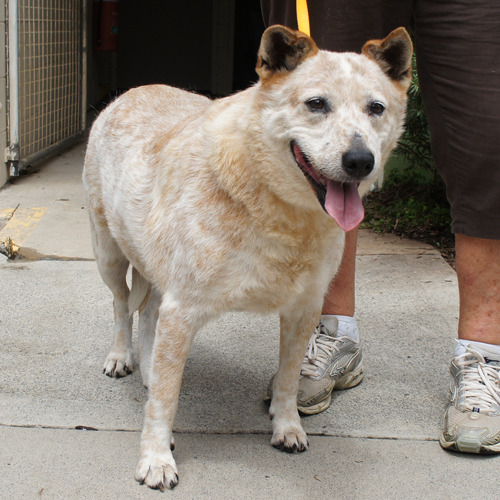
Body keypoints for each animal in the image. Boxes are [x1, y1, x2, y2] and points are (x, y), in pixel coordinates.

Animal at [83, 25, 412, 491]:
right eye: (316, 104)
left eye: (376, 108)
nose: (360, 161)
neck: (277, 210)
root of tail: (132, 90)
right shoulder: (183, 309)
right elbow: (166, 399)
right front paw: (156, 458)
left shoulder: (304, 309)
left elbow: (288, 380)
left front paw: (287, 427)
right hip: (108, 256)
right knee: (120, 305)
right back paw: (122, 357)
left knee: (147, 313)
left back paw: (146, 366)